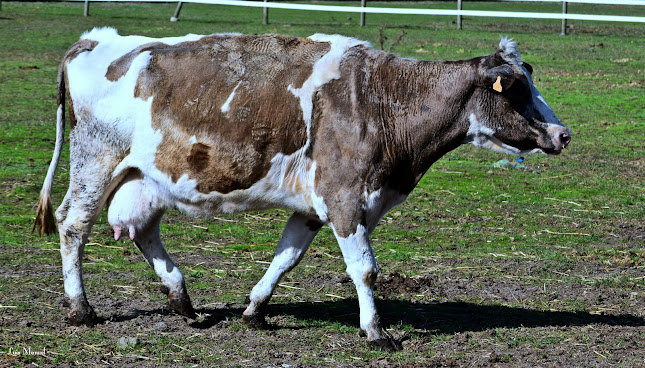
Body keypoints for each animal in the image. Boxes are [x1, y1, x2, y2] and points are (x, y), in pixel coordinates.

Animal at [34, 27, 568, 350]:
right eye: (517, 90)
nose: (562, 134)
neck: (384, 99)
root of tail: (97, 39)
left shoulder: (316, 205)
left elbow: (285, 257)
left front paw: (254, 309)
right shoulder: (346, 197)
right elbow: (365, 270)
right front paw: (376, 332)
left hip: (144, 177)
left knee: (144, 231)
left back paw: (181, 297)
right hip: (94, 163)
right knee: (72, 225)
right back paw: (81, 308)